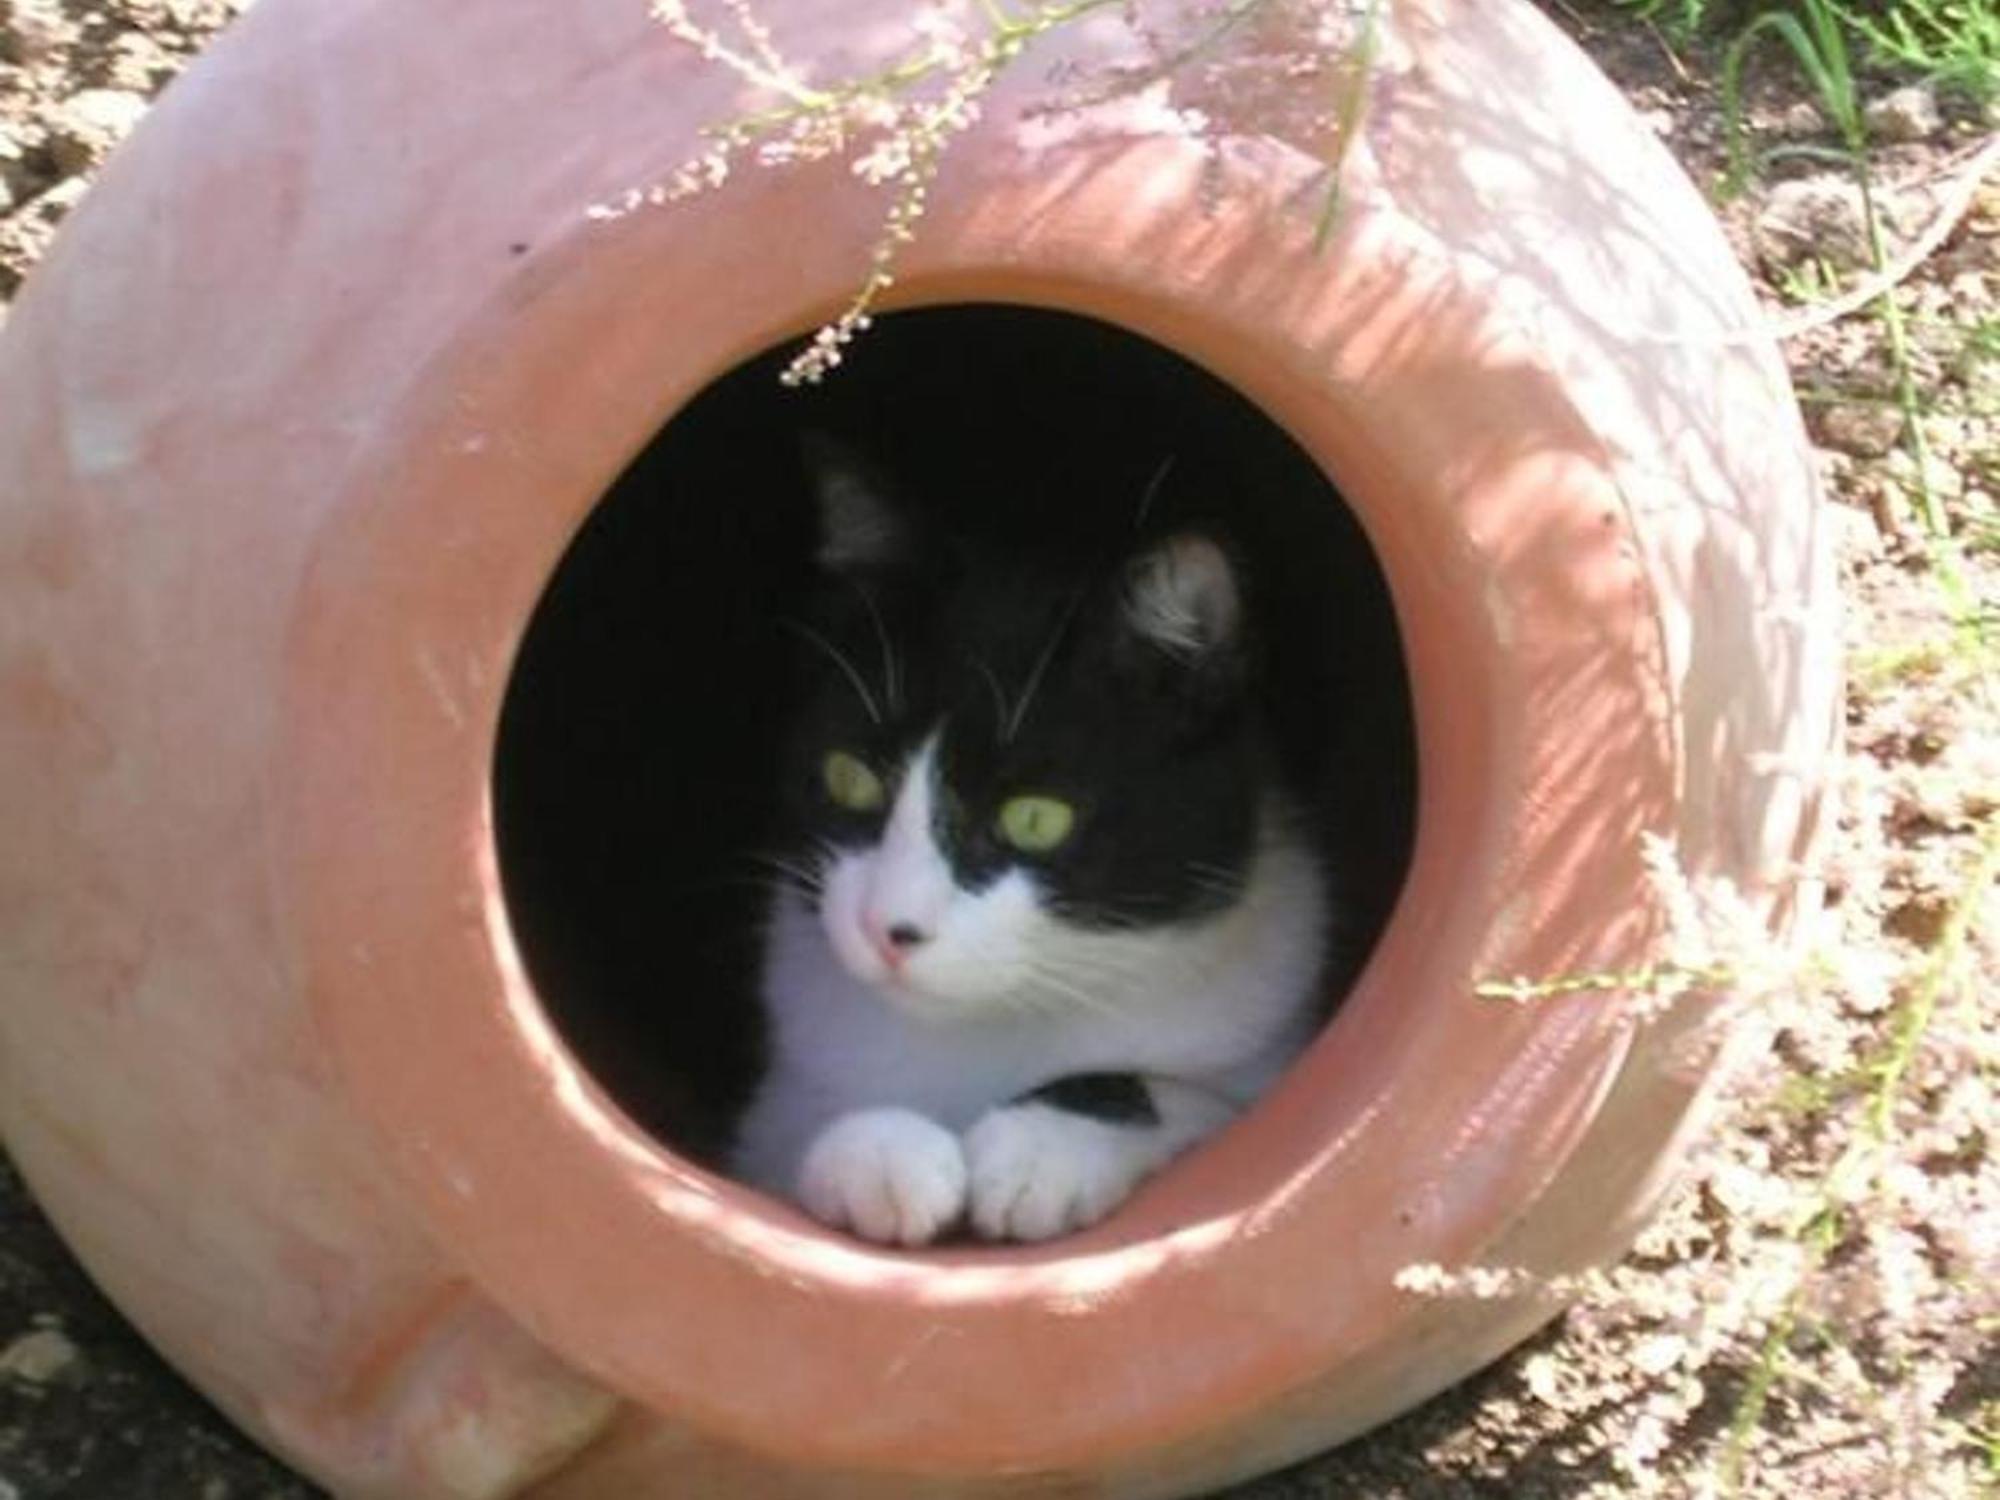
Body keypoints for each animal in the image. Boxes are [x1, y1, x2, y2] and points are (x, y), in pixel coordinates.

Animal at [728, 446, 1336, 1248]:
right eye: (848, 776)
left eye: (1036, 819)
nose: (886, 929)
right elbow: (786, 1128)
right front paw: (879, 1150)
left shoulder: (1268, 1042)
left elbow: (1194, 1096)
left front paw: (1041, 1150)